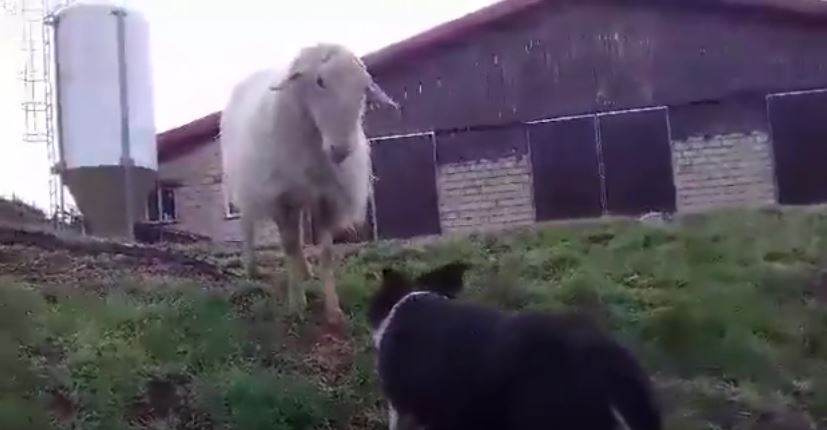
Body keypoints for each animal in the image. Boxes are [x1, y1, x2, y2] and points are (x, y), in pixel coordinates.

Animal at [220, 42, 402, 326]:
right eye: (320, 81)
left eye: (363, 88)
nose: (340, 151)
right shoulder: (280, 198)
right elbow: (289, 246)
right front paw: (296, 306)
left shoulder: (327, 200)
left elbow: (325, 254)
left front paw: (333, 310)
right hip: (246, 184)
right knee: (248, 224)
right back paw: (252, 267)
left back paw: (305, 271)